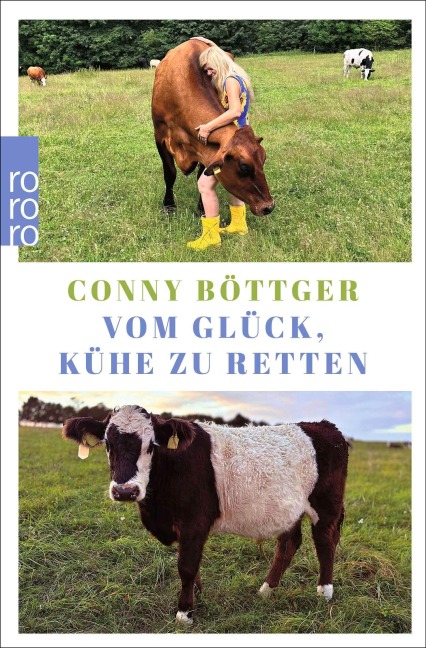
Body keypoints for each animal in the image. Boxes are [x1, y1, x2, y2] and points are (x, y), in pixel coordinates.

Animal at [63, 406, 348, 626]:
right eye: (108, 445)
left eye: (151, 446)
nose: (125, 490)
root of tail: (324, 426)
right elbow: (193, 567)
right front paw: (196, 597)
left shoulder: (194, 523)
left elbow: (186, 566)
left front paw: (184, 612)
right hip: (288, 510)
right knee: (289, 543)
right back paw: (267, 590)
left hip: (326, 505)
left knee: (325, 540)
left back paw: (324, 591)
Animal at [151, 39, 274, 217]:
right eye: (244, 166)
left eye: (263, 159)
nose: (269, 206)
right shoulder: (159, 135)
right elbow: (170, 173)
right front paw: (168, 206)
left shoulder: (205, 147)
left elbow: (200, 175)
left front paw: (201, 207)